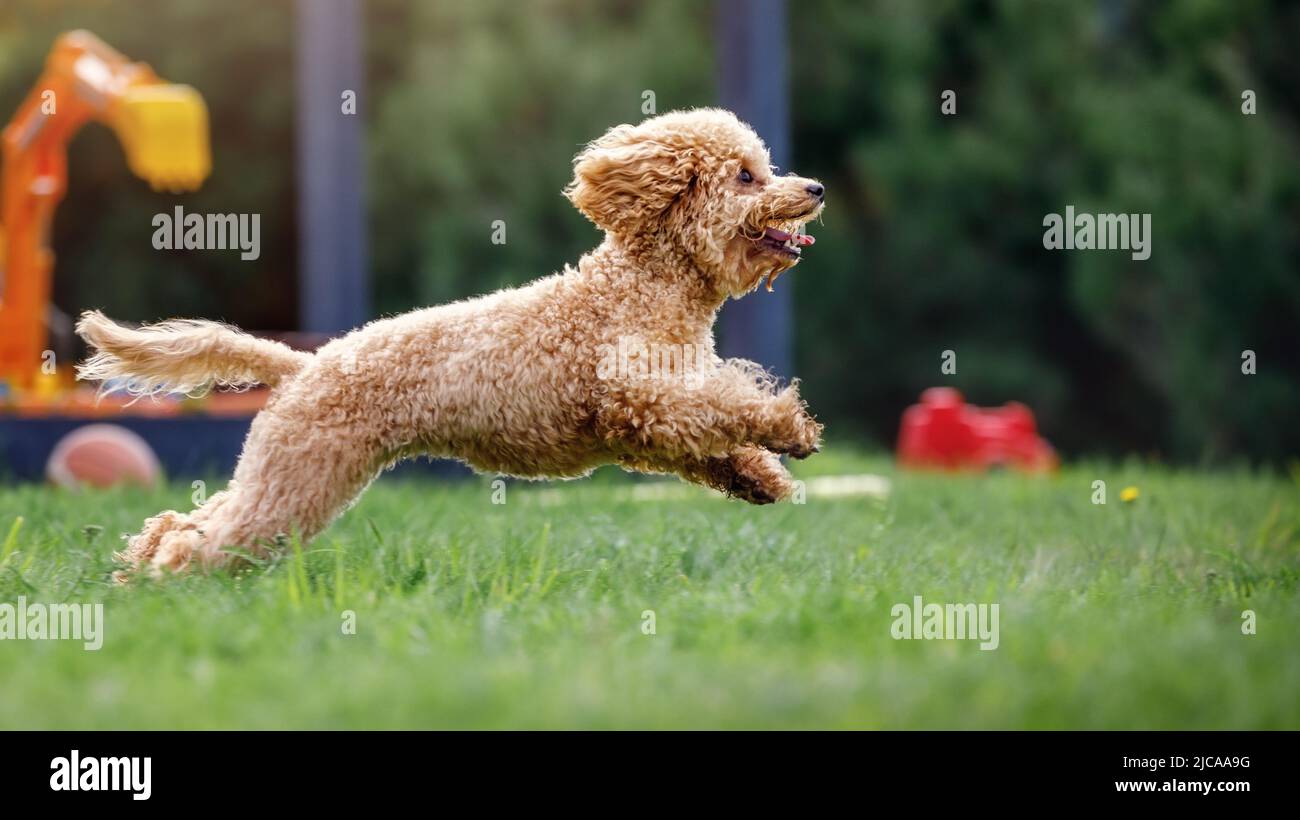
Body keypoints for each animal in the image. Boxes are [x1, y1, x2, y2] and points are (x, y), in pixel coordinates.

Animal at [78, 109, 821, 576]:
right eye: (747, 176)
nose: (813, 187)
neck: (644, 284)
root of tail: (305, 364)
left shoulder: (655, 424)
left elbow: (717, 440)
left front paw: (762, 477)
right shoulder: (641, 396)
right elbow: (728, 405)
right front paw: (790, 426)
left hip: (289, 470)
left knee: (195, 520)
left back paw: (142, 567)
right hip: (299, 476)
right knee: (215, 536)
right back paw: (166, 578)